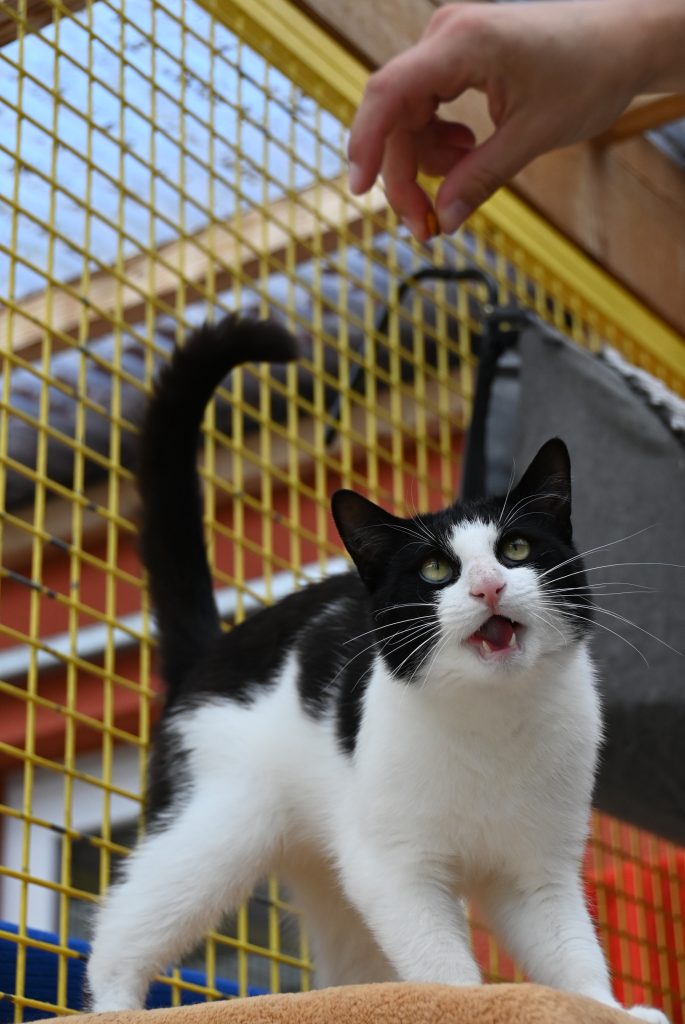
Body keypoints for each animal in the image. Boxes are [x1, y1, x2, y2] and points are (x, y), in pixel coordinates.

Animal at [86, 315, 668, 1022]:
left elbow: (569, 947)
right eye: (436, 569)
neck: (493, 724)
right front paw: (465, 1002)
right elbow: (440, 961)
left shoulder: (537, 870)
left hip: (325, 872)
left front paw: (606, 1007)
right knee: (126, 920)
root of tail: (215, 649)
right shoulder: (393, 866)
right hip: (217, 822)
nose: (488, 586)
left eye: (517, 548)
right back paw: (115, 1002)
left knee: (345, 961)